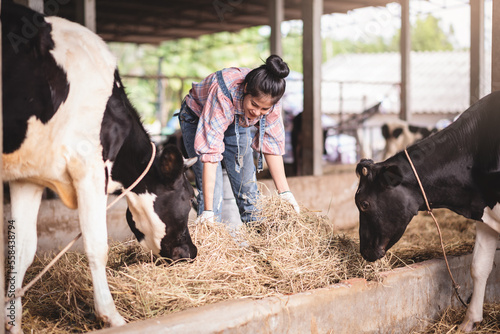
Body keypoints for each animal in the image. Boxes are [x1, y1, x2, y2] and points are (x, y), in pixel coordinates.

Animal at [2, 1, 197, 332]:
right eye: (189, 198)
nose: (193, 253)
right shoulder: (88, 167)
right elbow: (97, 244)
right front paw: (111, 314)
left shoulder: (27, 176)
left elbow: (22, 249)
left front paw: (13, 322)